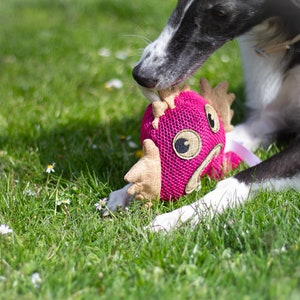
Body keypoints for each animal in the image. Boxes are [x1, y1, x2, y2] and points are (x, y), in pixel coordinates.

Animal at [103, 0, 300, 232]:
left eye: (220, 13)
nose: (141, 75)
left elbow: (237, 180)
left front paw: (179, 217)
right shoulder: (270, 119)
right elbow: (224, 141)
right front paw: (132, 188)